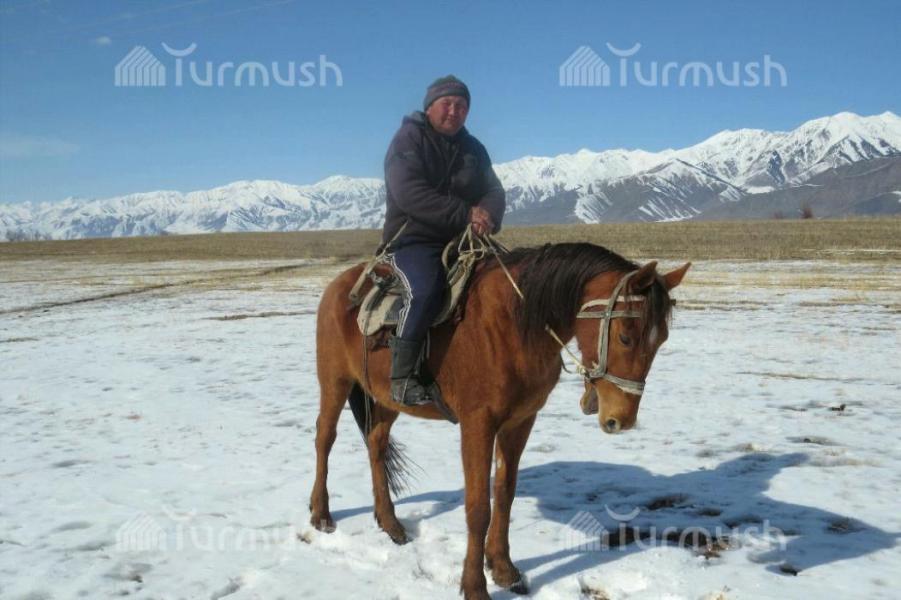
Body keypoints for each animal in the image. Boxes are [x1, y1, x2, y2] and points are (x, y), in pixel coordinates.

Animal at [309, 241, 690, 599]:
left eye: (662, 340)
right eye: (626, 336)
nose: (620, 420)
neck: (516, 324)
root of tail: (340, 286)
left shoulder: (519, 422)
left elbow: (504, 495)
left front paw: (504, 569)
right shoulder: (478, 424)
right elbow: (479, 507)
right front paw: (475, 586)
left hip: (386, 397)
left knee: (376, 443)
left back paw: (390, 523)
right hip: (335, 381)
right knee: (324, 438)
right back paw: (321, 514)